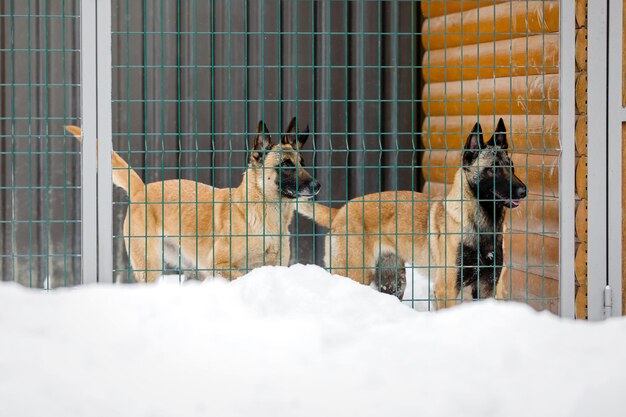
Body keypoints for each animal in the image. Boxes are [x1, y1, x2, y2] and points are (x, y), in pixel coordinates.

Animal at [66, 116, 320, 282]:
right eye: (285, 165)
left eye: (303, 163)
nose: (317, 186)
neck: (265, 218)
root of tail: (141, 189)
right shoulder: (218, 264)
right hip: (150, 266)